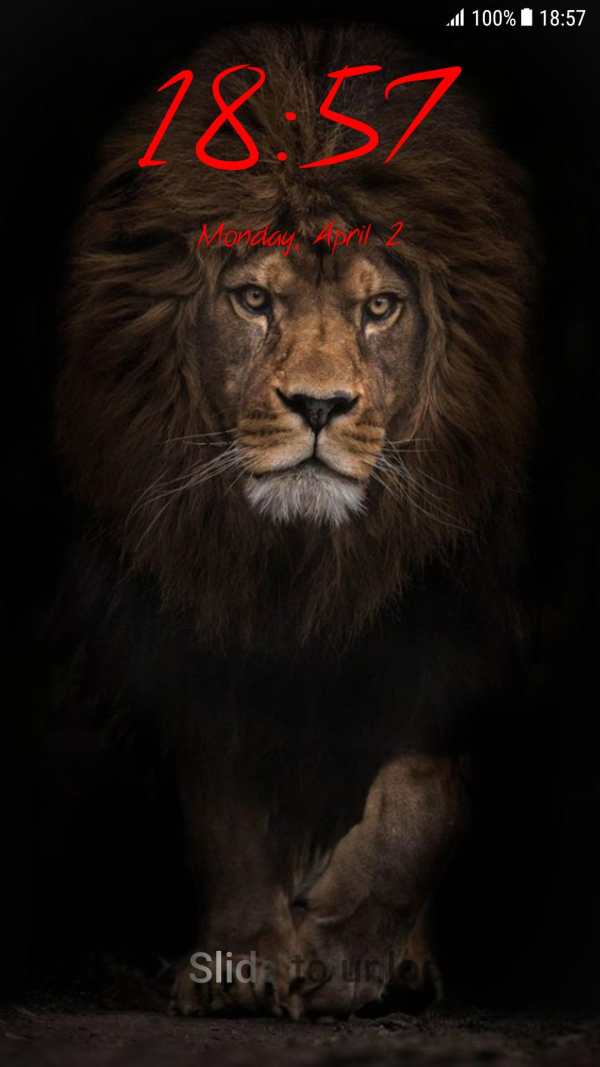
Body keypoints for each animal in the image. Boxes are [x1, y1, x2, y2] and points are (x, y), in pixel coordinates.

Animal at [56, 23, 536, 1017]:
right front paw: (243, 959)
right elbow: (227, 806)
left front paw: (351, 949)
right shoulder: (197, 626)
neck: (307, 562)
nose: (319, 405)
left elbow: (426, 790)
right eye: (254, 299)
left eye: (380, 308)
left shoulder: (467, 624)